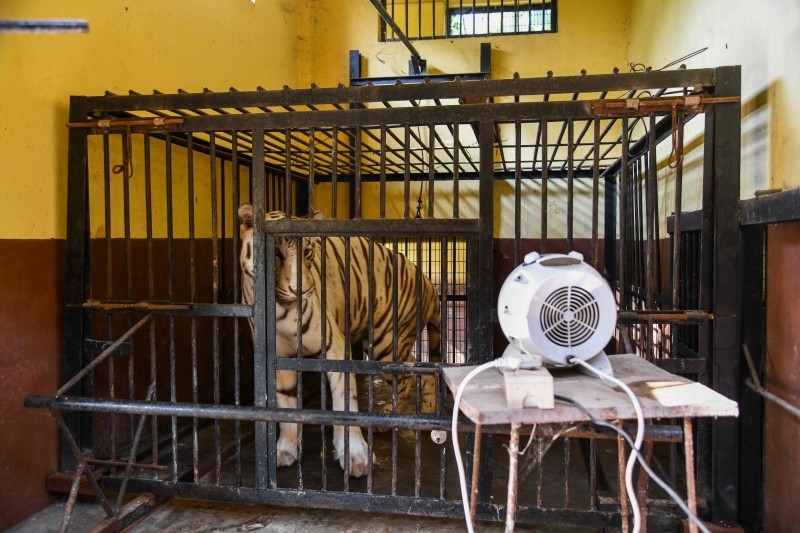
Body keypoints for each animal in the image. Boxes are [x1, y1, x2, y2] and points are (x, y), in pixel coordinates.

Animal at [238, 204, 440, 478]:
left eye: (307, 252)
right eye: (276, 254)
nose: (300, 290)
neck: (280, 309)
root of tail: (428, 281)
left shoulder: (335, 348)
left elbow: (345, 405)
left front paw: (356, 456)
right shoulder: (278, 355)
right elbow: (286, 404)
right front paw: (286, 450)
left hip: (386, 343)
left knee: (409, 378)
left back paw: (395, 418)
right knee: (424, 371)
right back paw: (426, 413)